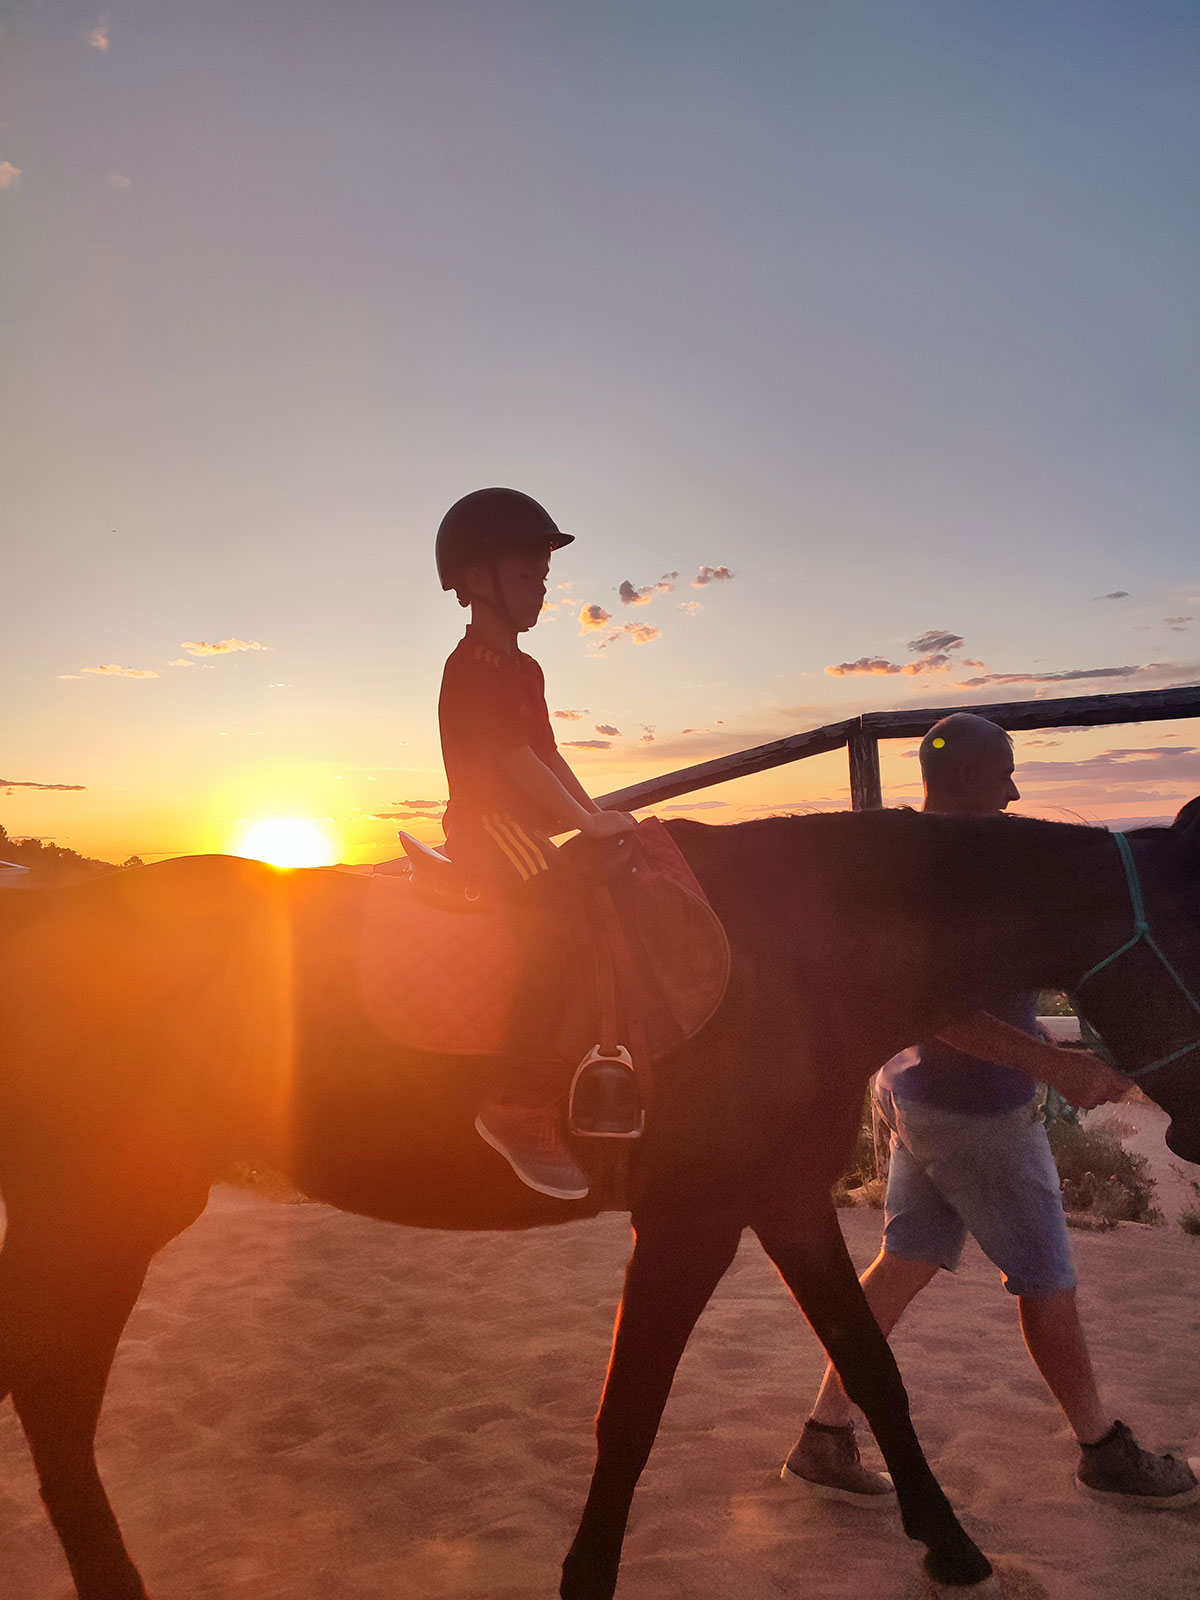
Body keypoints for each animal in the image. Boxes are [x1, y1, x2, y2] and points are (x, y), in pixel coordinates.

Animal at [2, 812, 1200, 1600]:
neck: (801, 947)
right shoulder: (691, 1219)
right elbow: (630, 1412)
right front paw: (586, 1574)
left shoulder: (781, 1200)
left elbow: (872, 1364)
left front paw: (948, 1544)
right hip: (104, 1206)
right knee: (57, 1396)